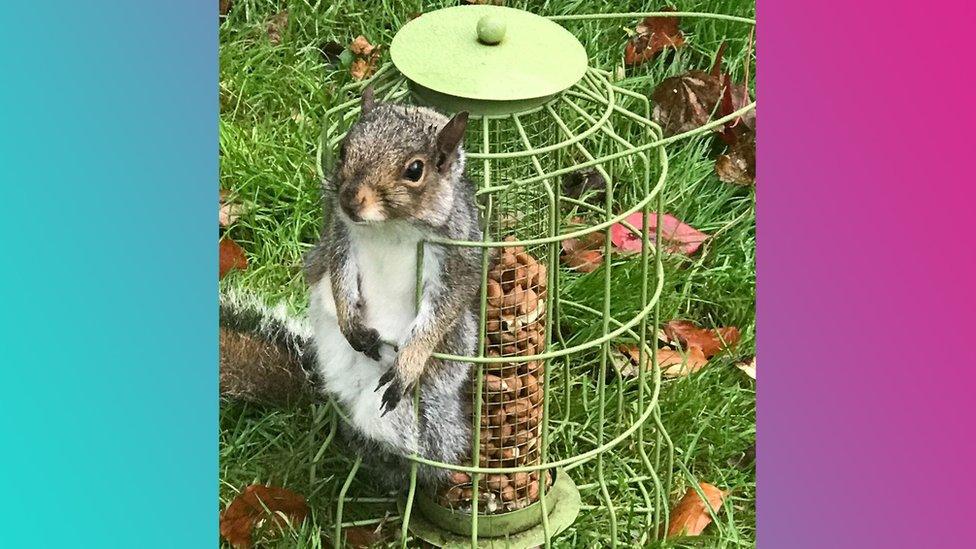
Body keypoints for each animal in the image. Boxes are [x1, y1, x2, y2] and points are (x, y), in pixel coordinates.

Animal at [220, 89, 480, 488]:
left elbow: (444, 308)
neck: (390, 227)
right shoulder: (341, 237)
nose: (350, 198)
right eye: (343, 149)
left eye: (415, 170)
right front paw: (350, 322)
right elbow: (339, 275)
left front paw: (411, 360)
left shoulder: (455, 254)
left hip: (420, 403)